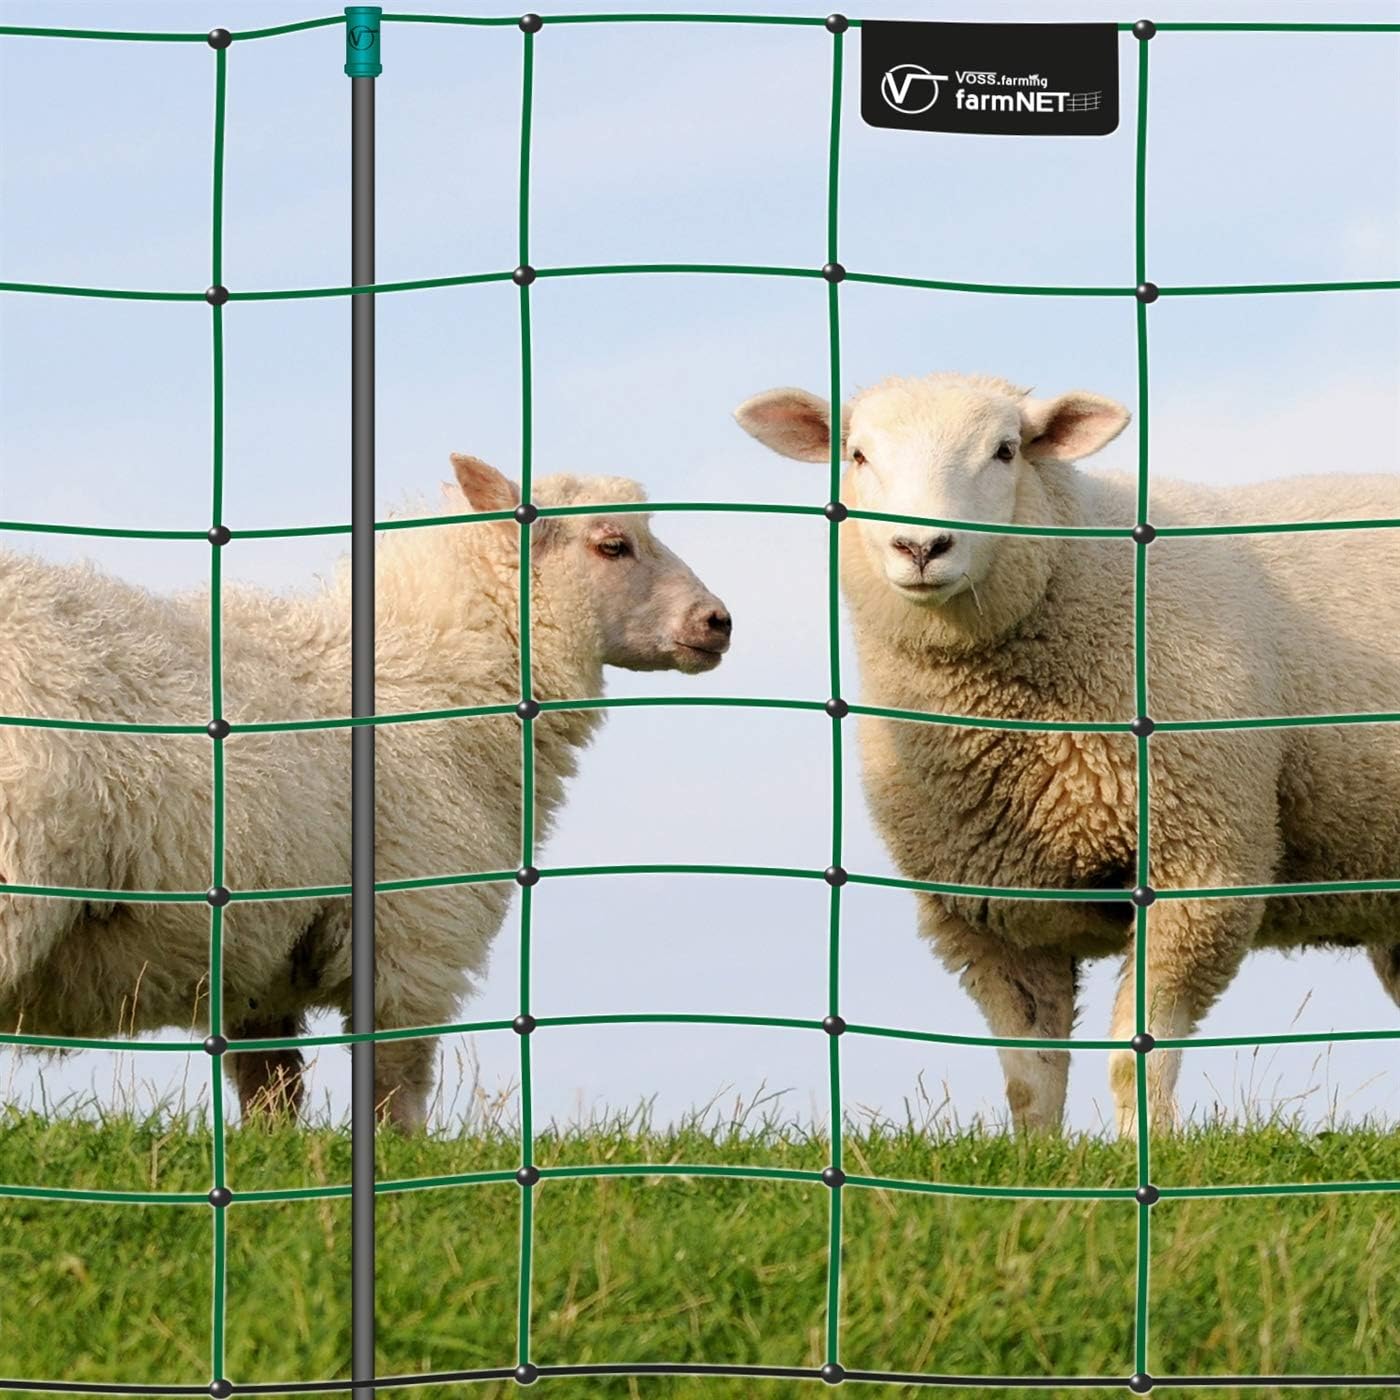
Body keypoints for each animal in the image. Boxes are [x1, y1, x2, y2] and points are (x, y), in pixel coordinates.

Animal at [0, 454, 732, 1128]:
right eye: (613, 544)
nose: (718, 621)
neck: (432, 674)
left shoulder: (259, 963)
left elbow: (273, 1091)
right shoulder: (415, 932)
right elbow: (395, 1083)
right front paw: (403, 1157)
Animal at [735, 372, 1400, 1136]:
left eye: (1005, 451)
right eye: (857, 454)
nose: (921, 547)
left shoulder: (1201, 866)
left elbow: (1136, 1057)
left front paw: (1152, 1146)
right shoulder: (993, 912)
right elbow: (1030, 1076)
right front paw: (1036, 1155)